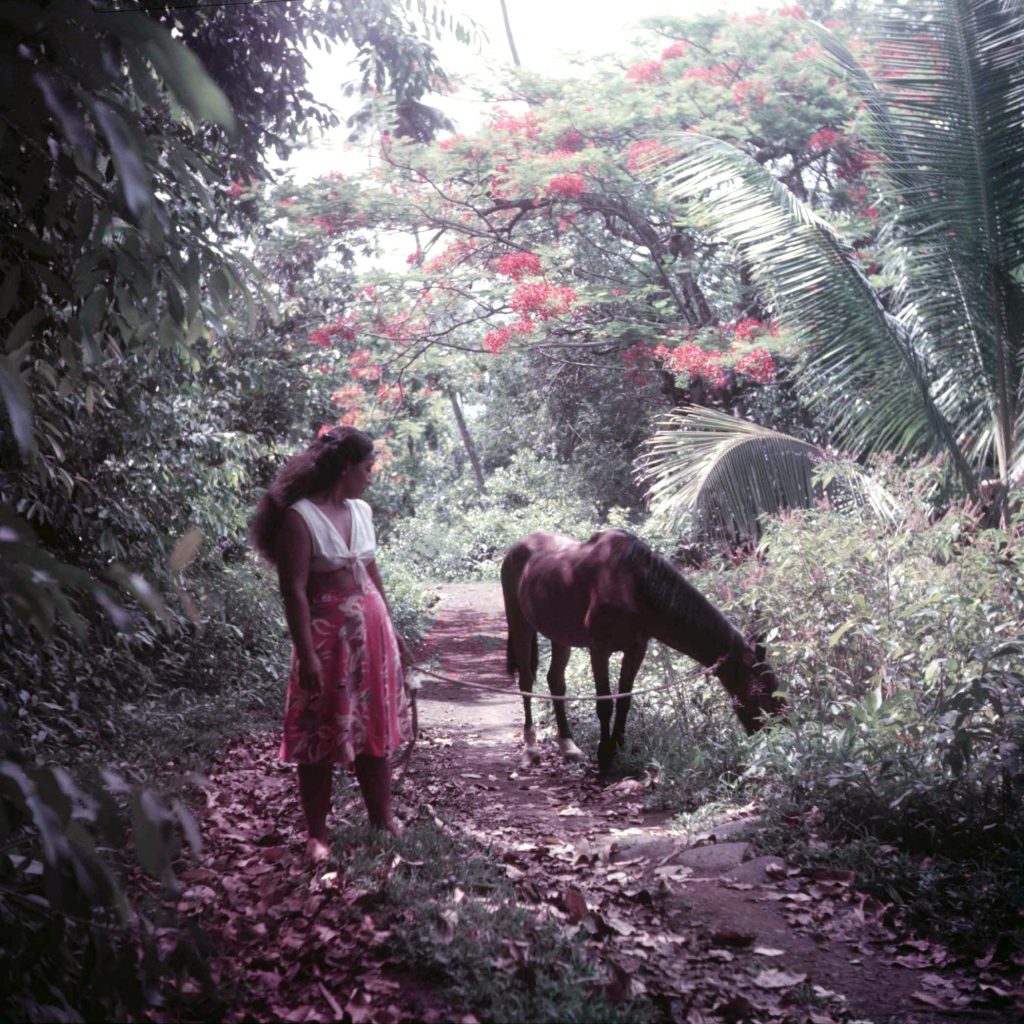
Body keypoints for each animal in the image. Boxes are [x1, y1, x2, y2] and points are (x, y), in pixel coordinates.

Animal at [501, 528, 782, 770]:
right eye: (758, 692)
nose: (777, 733)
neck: (632, 584)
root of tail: (517, 548)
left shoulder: (637, 648)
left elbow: (625, 700)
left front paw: (618, 747)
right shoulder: (599, 649)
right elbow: (605, 703)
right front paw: (604, 757)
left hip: (560, 635)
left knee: (556, 681)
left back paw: (568, 746)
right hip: (519, 623)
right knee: (526, 681)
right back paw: (531, 748)